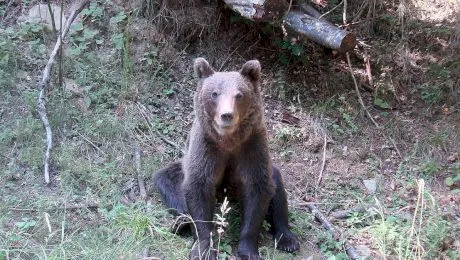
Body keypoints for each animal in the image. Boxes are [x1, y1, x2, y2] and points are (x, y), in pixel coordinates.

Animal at [153, 58, 300, 258]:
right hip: (180, 169)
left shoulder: (251, 147)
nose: (227, 115)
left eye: (239, 95)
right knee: (168, 181)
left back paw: (288, 239)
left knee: (277, 189)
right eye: (215, 93)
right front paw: (203, 248)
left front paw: (248, 251)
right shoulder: (207, 147)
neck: (228, 141)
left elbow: (257, 190)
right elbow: (199, 187)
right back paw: (182, 222)